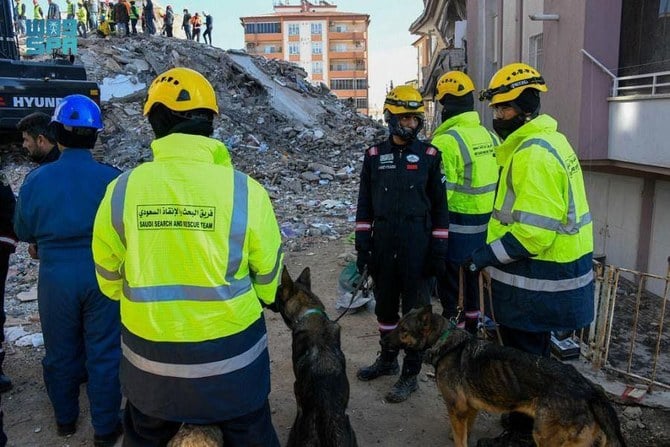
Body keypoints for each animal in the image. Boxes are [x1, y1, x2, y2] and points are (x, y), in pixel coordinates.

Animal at [386, 306, 628, 447]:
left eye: (402, 329)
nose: (384, 340)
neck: (444, 340)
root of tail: (589, 388)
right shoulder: (470, 408)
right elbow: (466, 430)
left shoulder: (457, 408)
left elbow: (460, 439)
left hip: (545, 437)